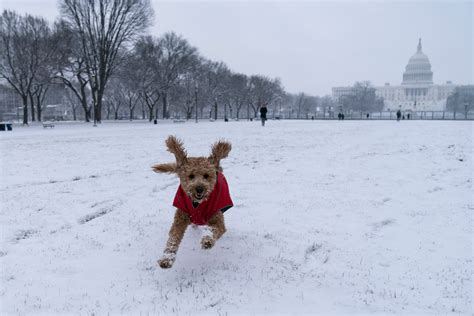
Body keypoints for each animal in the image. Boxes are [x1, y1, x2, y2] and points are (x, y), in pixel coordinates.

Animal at [152, 136, 233, 270]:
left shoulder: (217, 219)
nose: (199, 188)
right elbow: (173, 238)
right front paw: (167, 258)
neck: (198, 204)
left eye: (206, 176)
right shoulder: (180, 218)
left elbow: (214, 229)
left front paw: (207, 240)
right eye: (191, 176)